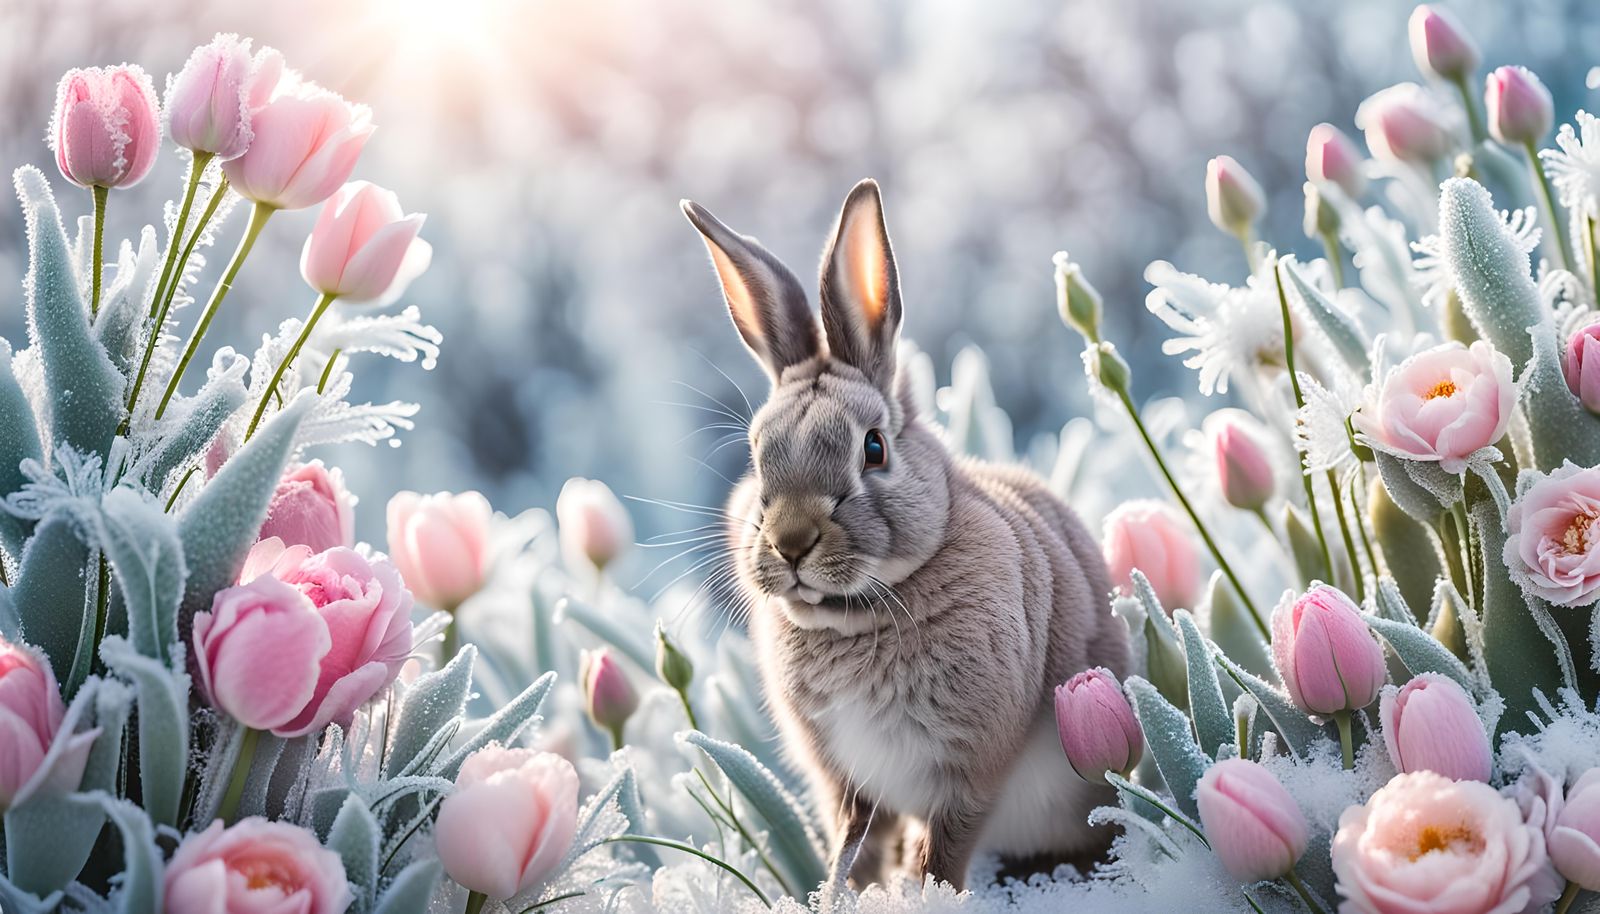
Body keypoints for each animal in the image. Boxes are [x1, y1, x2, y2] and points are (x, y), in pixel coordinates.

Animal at [680, 179, 1132, 891]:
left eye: (873, 448)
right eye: (756, 455)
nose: (791, 542)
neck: (853, 616)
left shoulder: (969, 771)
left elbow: (943, 850)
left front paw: (921, 896)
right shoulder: (847, 780)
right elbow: (855, 843)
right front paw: (841, 893)